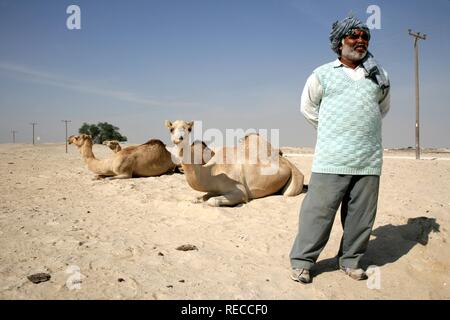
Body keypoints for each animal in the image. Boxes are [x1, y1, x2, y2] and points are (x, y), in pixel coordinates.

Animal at [166, 119, 306, 206]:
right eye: (171, 129)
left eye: (189, 129)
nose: (179, 138)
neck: (212, 171)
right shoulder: (215, 188)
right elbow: (198, 198)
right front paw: (198, 199)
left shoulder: (240, 191)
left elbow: (212, 201)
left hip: (295, 178)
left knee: (287, 193)